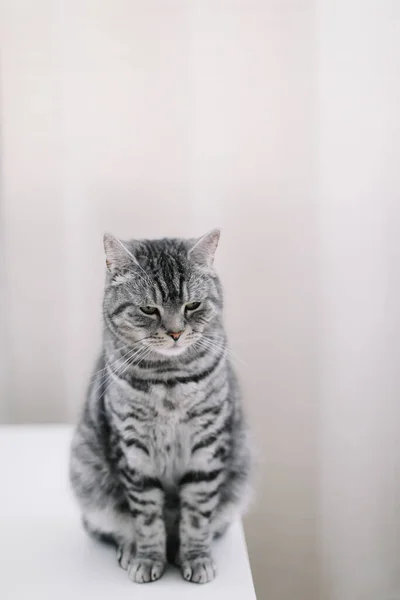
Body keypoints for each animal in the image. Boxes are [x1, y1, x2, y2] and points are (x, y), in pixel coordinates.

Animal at [68, 229, 250, 580]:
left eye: (193, 305)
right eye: (149, 310)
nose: (176, 333)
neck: (169, 381)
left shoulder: (207, 443)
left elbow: (197, 515)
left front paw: (196, 558)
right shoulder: (133, 448)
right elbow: (147, 518)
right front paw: (148, 558)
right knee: (119, 526)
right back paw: (131, 549)